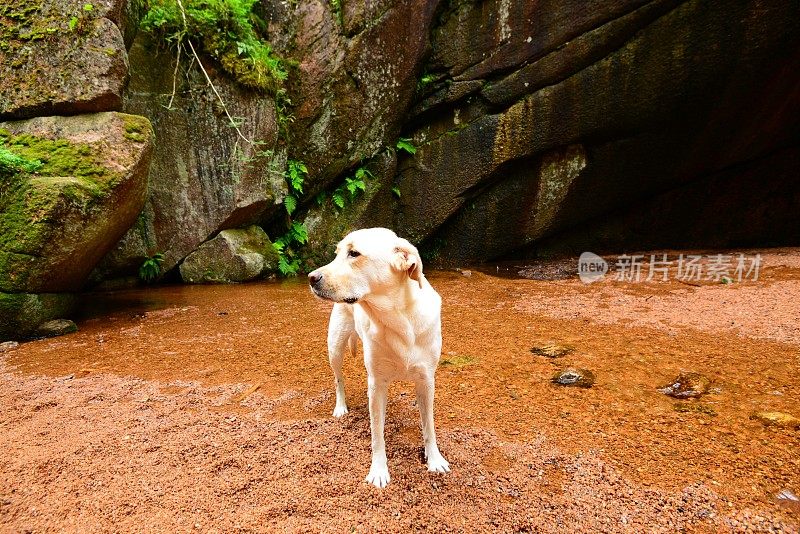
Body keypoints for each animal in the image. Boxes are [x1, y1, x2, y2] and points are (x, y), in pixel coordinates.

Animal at [308, 228, 450, 488]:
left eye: (354, 253)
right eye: (337, 253)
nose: (311, 277)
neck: (398, 320)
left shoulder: (426, 381)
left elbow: (429, 426)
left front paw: (434, 460)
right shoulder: (376, 385)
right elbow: (377, 434)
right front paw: (379, 470)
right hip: (335, 348)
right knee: (338, 379)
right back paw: (340, 407)